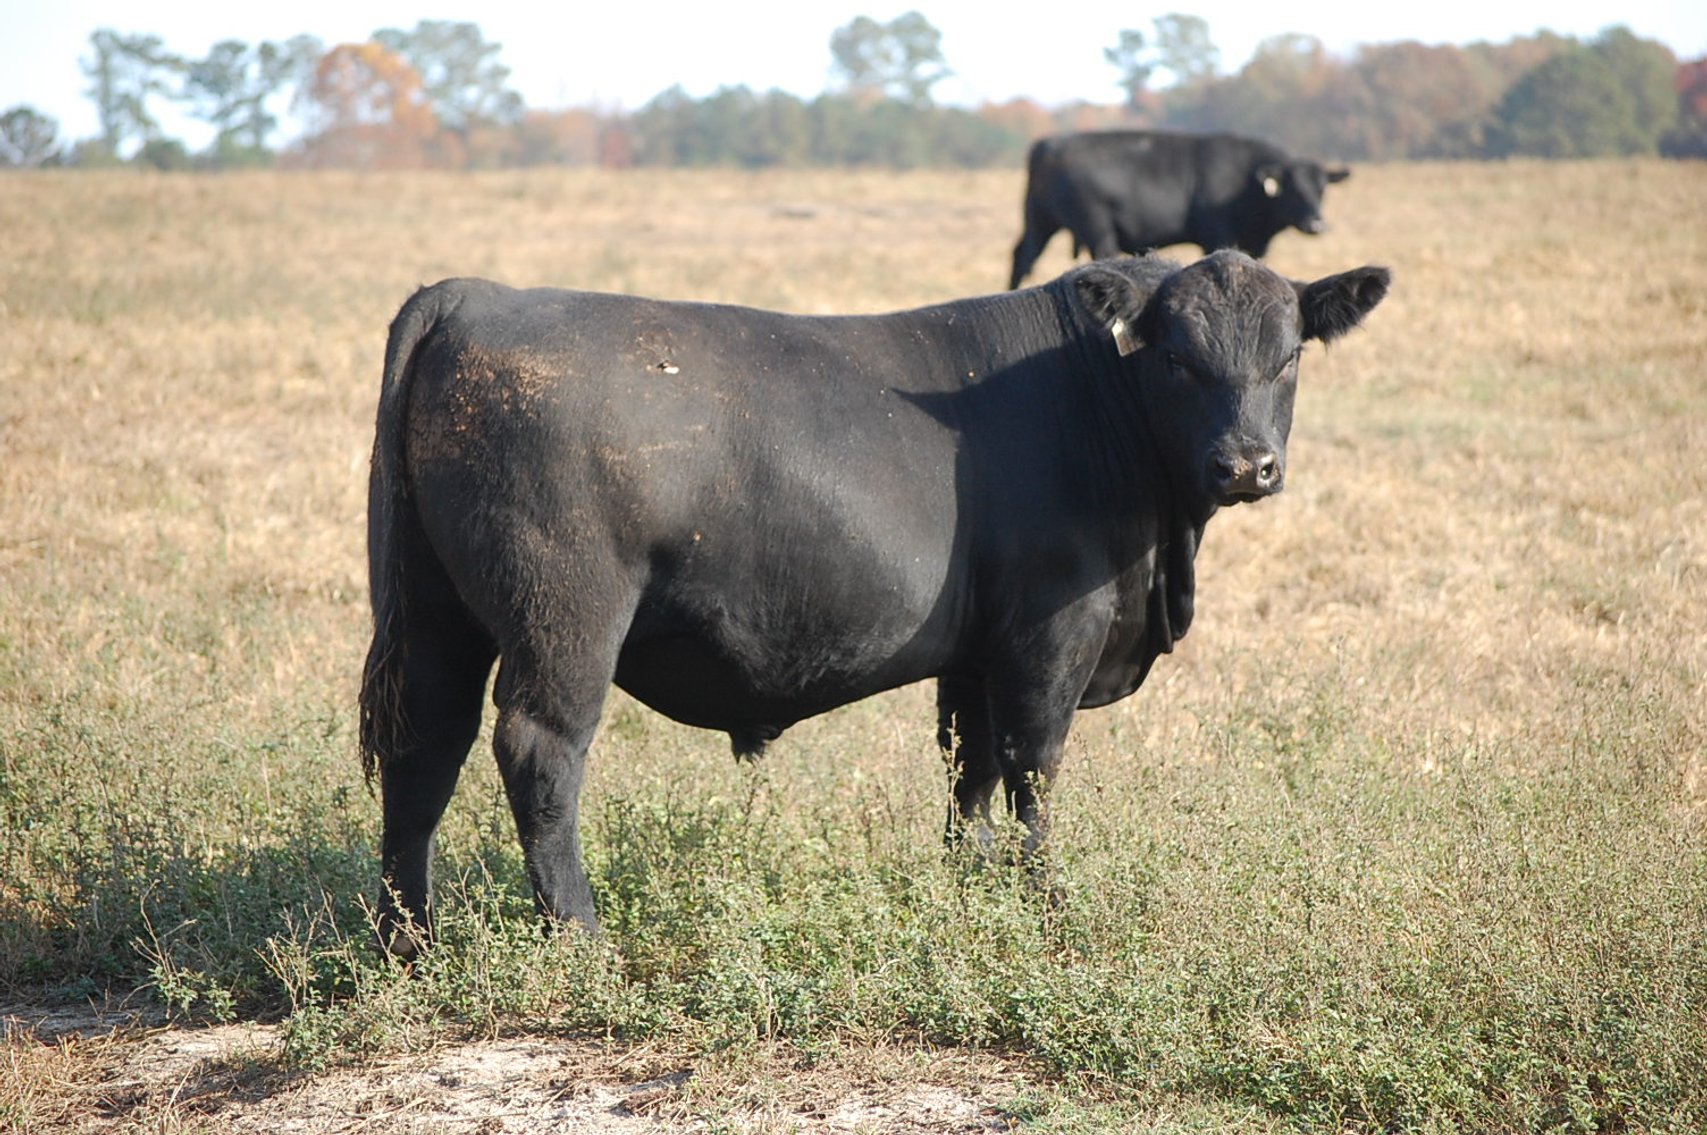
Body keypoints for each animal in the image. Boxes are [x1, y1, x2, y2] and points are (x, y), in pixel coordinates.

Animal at [359, 250, 1389, 954]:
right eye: (1176, 358)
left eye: (1289, 357)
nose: (1246, 465)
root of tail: (476, 292)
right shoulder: (1051, 633)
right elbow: (1033, 766)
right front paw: (1046, 906)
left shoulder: (977, 651)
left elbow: (969, 775)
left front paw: (970, 893)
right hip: (565, 618)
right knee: (538, 753)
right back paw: (583, 940)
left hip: (440, 615)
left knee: (423, 751)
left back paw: (409, 943)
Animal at [1008, 130, 1352, 289]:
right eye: (1294, 189)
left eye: (1322, 188)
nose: (1316, 224)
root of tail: (1049, 144)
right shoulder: (1218, 235)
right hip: (1096, 229)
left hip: (1039, 222)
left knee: (1022, 256)